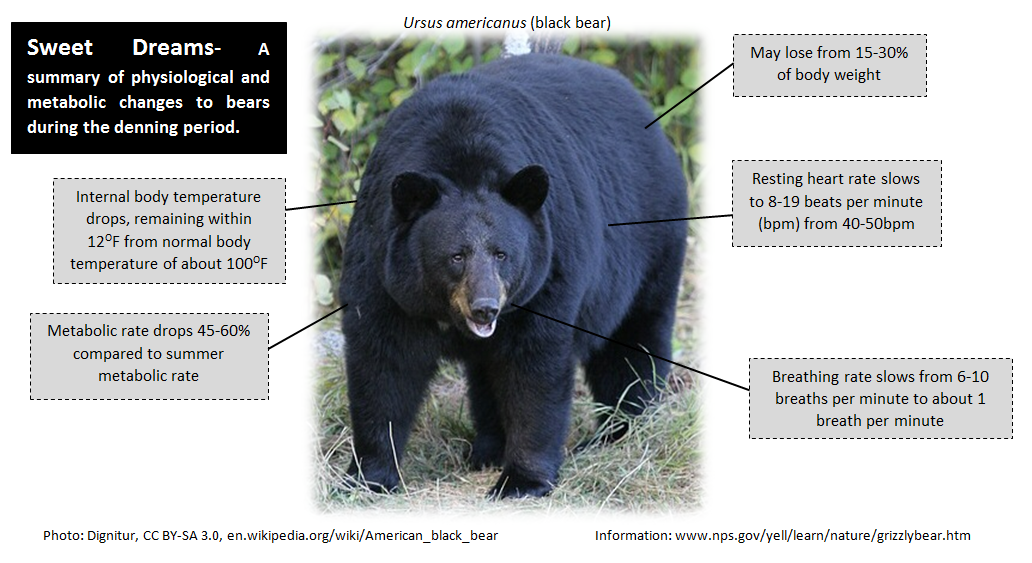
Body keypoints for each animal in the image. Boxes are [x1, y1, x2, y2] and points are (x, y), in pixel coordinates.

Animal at [339, 53, 688, 499]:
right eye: (456, 256)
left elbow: (534, 369)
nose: (485, 308)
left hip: (651, 243)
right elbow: (383, 362)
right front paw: (370, 477)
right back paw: (487, 449)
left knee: (632, 343)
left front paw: (521, 481)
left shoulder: (548, 272)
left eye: (502, 254)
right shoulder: (382, 268)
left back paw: (622, 431)